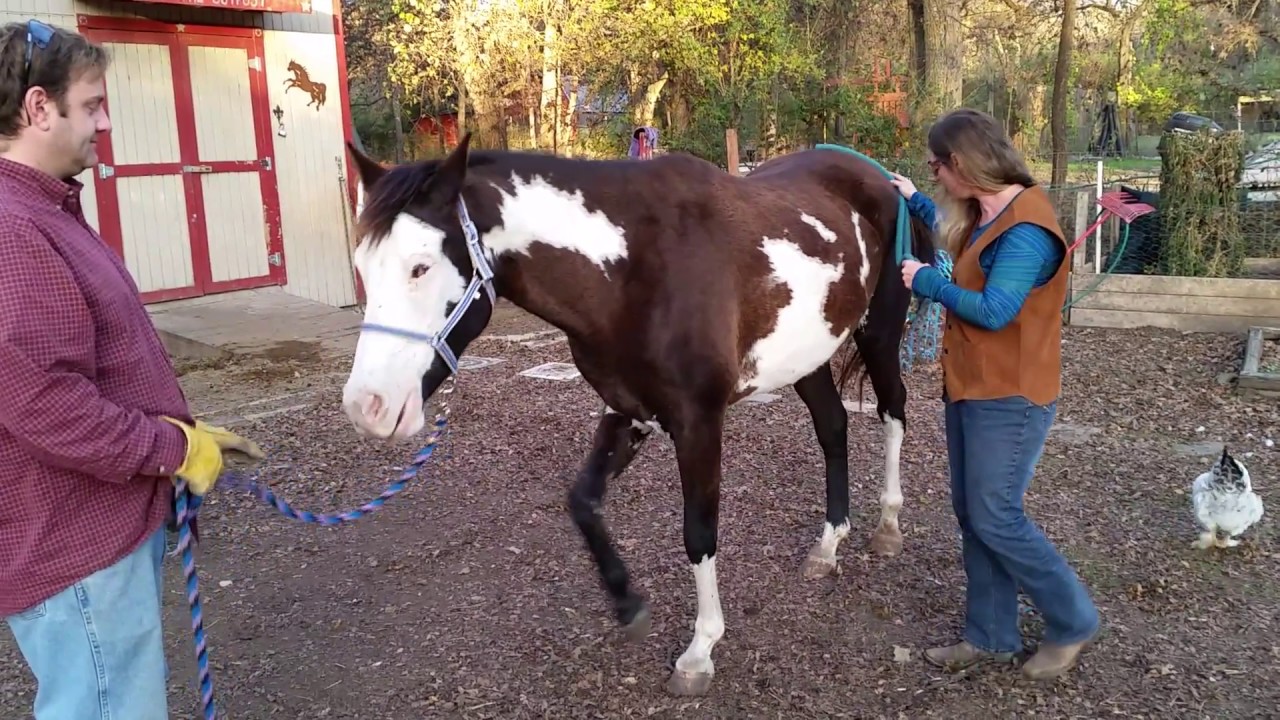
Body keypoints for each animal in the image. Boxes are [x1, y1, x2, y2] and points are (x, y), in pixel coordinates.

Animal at [339, 132, 936, 696]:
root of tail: (881, 178)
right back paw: (828, 546)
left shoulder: (698, 422)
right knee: (833, 428)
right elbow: (582, 501)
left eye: (420, 267)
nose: (367, 407)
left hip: (879, 335)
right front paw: (628, 603)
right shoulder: (628, 410)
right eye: (362, 266)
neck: (632, 271)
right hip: (806, 354)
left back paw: (887, 527)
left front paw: (699, 652)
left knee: (893, 413)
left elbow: (699, 533)